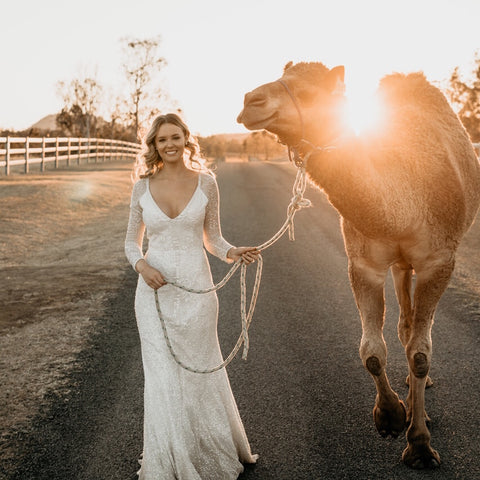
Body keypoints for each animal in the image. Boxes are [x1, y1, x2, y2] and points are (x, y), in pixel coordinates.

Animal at [236, 61, 480, 468]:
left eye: (310, 94)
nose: (249, 101)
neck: (403, 203)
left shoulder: (439, 261)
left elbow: (420, 354)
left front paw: (420, 447)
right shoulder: (363, 263)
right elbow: (371, 350)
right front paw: (392, 416)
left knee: (412, 332)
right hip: (399, 265)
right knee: (403, 322)